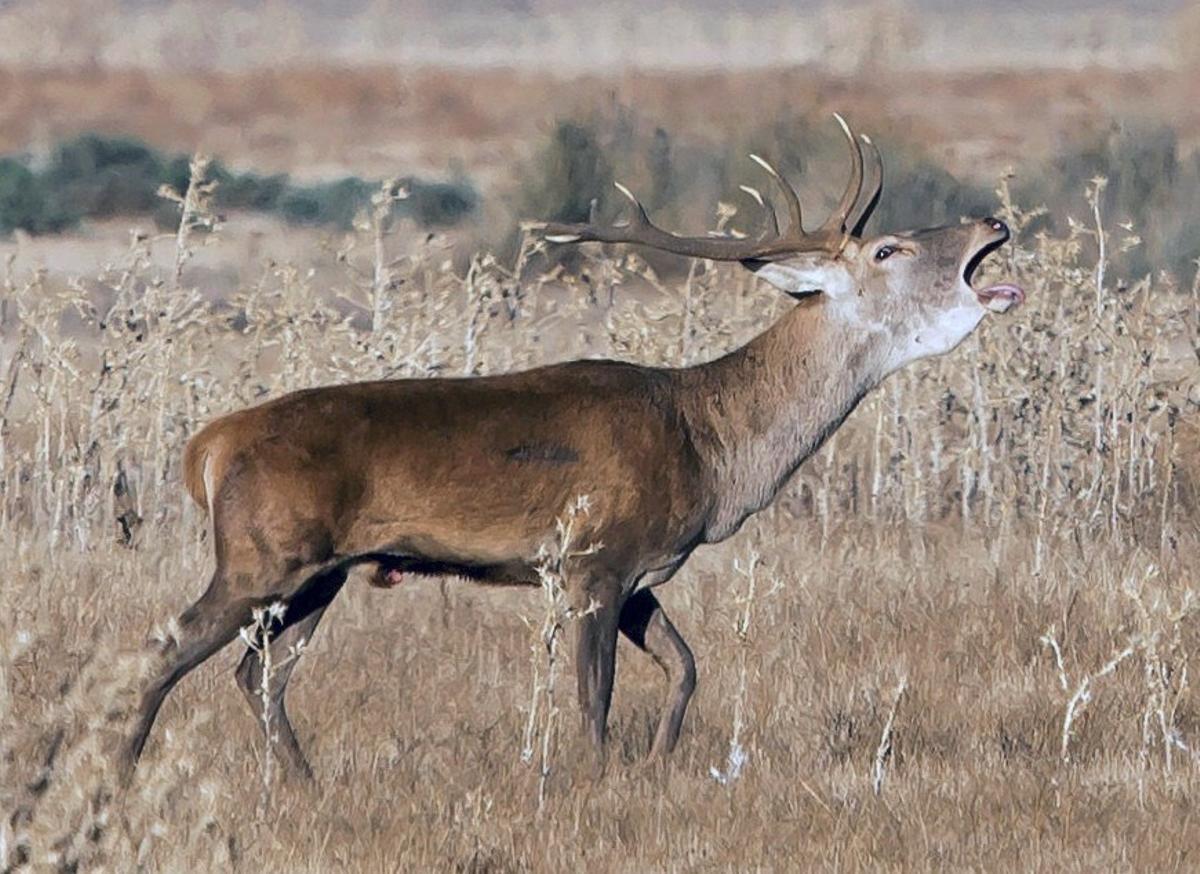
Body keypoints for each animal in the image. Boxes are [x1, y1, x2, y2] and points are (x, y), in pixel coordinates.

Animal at [117, 112, 1027, 782]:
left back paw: (305, 783)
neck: (710, 445)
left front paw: (655, 763)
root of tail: (207, 446)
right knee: (165, 647)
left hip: (320, 573)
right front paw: (593, 778)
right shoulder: (595, 555)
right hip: (262, 551)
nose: (995, 219)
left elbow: (686, 667)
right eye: (888, 248)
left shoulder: (638, 571)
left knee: (258, 674)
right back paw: (122, 772)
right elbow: (595, 697)